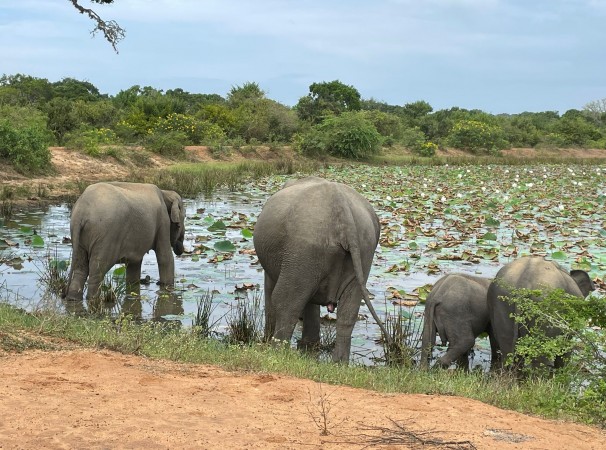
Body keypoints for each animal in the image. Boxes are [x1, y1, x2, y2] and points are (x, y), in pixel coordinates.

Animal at [253, 176, 390, 363]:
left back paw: (275, 353)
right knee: (348, 311)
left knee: (286, 301)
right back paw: (338, 364)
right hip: (363, 251)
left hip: (303, 247)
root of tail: (344, 214)